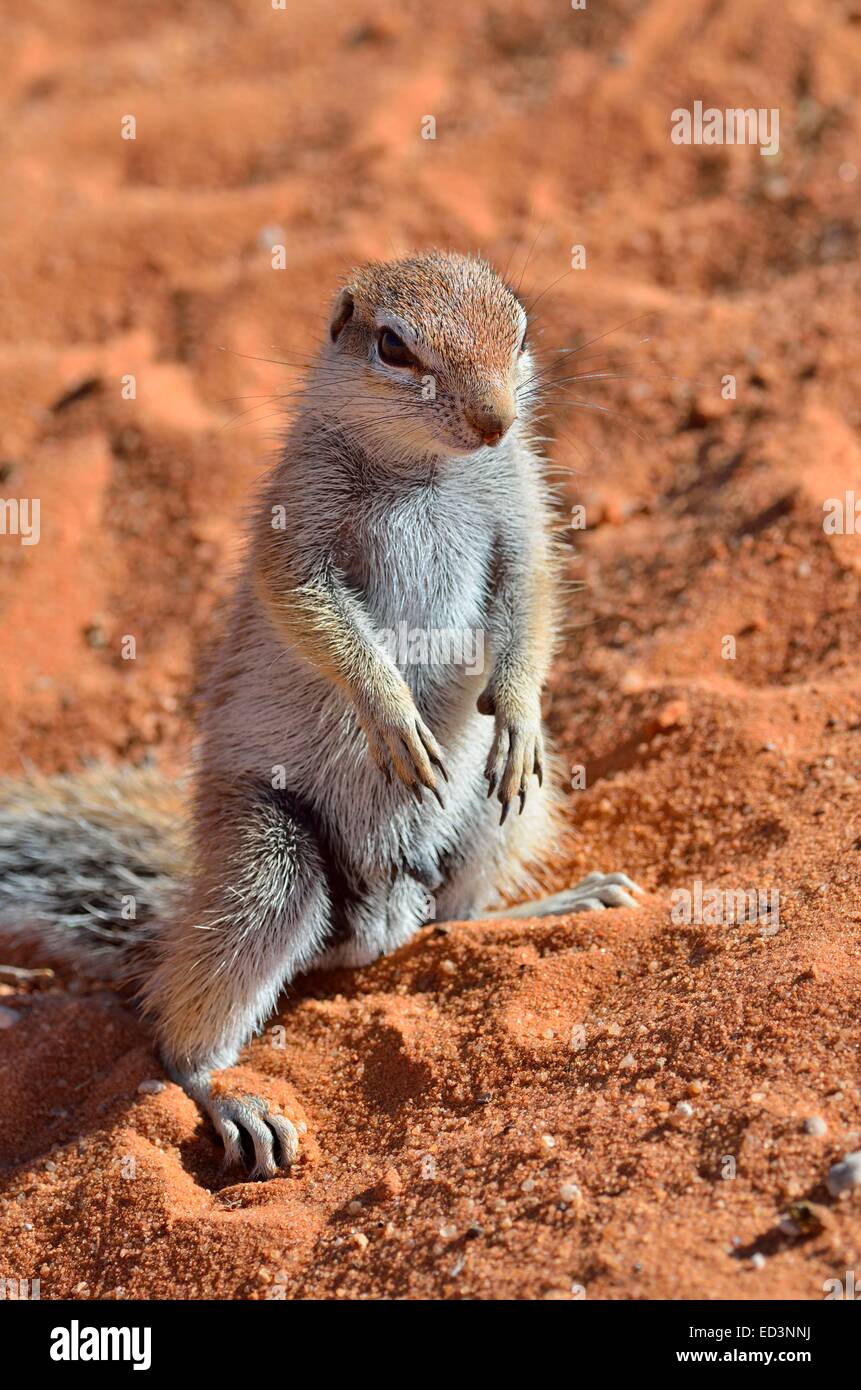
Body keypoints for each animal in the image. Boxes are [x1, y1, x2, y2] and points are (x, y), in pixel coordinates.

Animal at [0, 250, 639, 1173]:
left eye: (519, 330)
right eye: (393, 347)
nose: (494, 422)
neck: (426, 469)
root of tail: (371, 925)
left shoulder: (521, 513)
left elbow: (533, 601)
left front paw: (518, 711)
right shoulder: (296, 523)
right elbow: (312, 611)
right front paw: (389, 710)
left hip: (498, 817)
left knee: (455, 917)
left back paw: (552, 905)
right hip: (270, 864)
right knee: (176, 1036)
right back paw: (230, 1096)